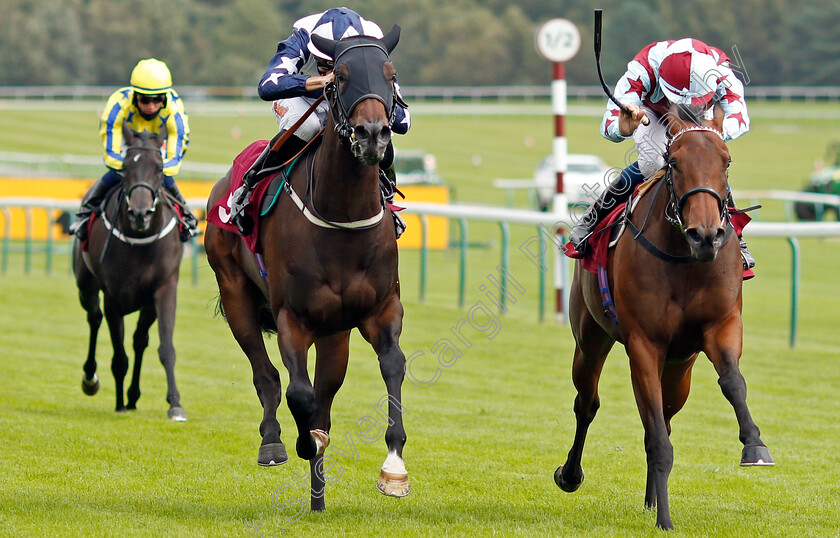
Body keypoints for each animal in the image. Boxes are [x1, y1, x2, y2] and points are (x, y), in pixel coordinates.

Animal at [73, 124, 187, 418]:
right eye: (125, 166)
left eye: (159, 167)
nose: (140, 214)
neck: (140, 241)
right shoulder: (114, 297)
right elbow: (119, 356)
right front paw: (119, 404)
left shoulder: (164, 289)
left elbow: (165, 348)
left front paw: (175, 404)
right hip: (85, 285)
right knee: (94, 317)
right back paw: (91, 379)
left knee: (139, 340)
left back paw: (134, 395)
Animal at [207, 26, 410, 510]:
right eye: (341, 75)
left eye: (390, 73)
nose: (373, 134)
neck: (341, 216)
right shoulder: (292, 317)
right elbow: (297, 392)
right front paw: (304, 442)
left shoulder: (379, 311)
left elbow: (393, 365)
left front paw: (393, 468)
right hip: (234, 291)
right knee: (266, 375)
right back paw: (274, 442)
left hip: (335, 333)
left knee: (323, 396)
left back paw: (318, 497)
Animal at [556, 104, 776, 528]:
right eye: (674, 162)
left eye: (726, 161)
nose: (705, 235)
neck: (684, 259)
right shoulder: (644, 344)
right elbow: (656, 436)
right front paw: (666, 521)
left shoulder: (721, 327)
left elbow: (733, 382)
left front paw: (755, 446)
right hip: (590, 340)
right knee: (588, 403)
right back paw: (570, 474)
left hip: (680, 365)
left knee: (666, 415)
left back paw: (651, 498)